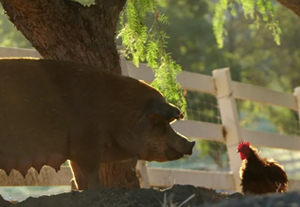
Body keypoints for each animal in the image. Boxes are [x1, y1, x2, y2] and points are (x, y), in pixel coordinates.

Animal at [0, 57, 195, 189]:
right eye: (162, 126)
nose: (191, 144)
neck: (118, 114)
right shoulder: (86, 144)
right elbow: (91, 173)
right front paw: (96, 190)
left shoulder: (73, 151)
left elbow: (78, 175)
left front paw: (81, 190)